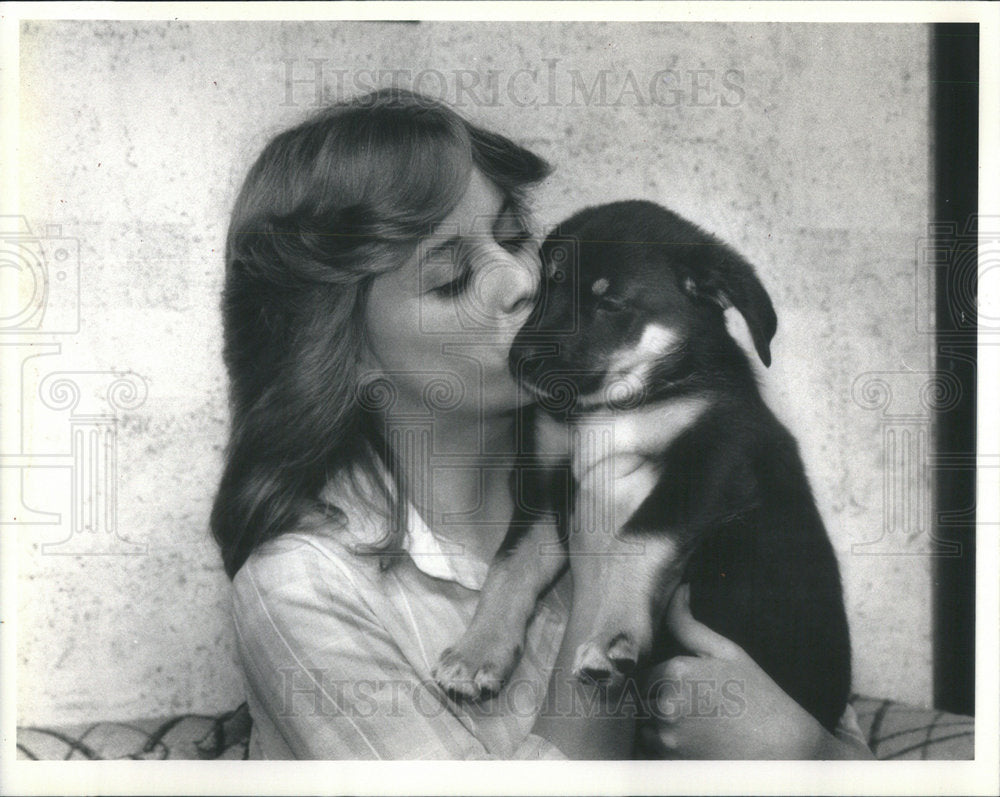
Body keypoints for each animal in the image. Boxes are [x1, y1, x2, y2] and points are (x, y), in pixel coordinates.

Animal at [432, 201, 852, 732]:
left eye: (610, 304)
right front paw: (476, 653)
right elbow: (509, 566)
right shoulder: (545, 487)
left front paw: (613, 637)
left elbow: (637, 538)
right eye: (549, 283)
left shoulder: (714, 461)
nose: (519, 361)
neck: (617, 404)